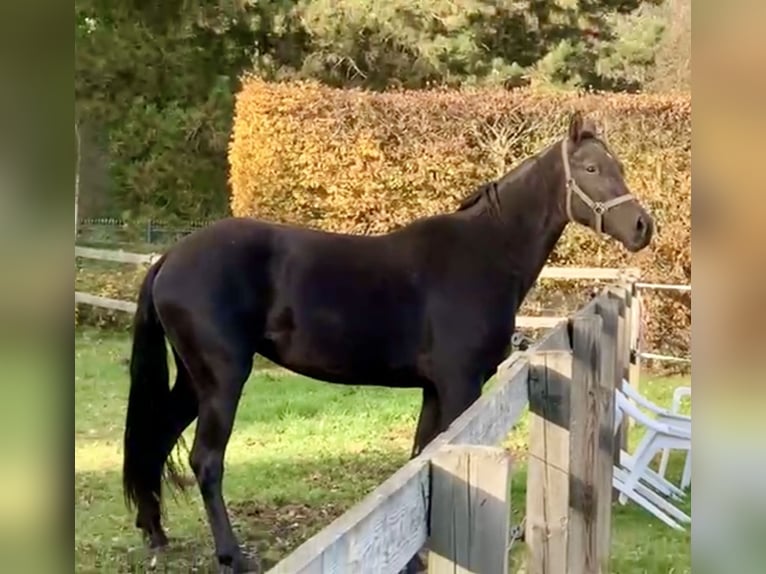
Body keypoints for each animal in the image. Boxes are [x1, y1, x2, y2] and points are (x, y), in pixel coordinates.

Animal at [123, 110, 656, 572]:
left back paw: (155, 533)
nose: (642, 227)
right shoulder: (461, 384)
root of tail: (169, 258)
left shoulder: (433, 388)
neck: (485, 253)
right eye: (591, 168)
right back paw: (232, 556)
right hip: (224, 378)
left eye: (620, 167)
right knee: (205, 460)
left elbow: (420, 461)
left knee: (158, 437)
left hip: (195, 381)